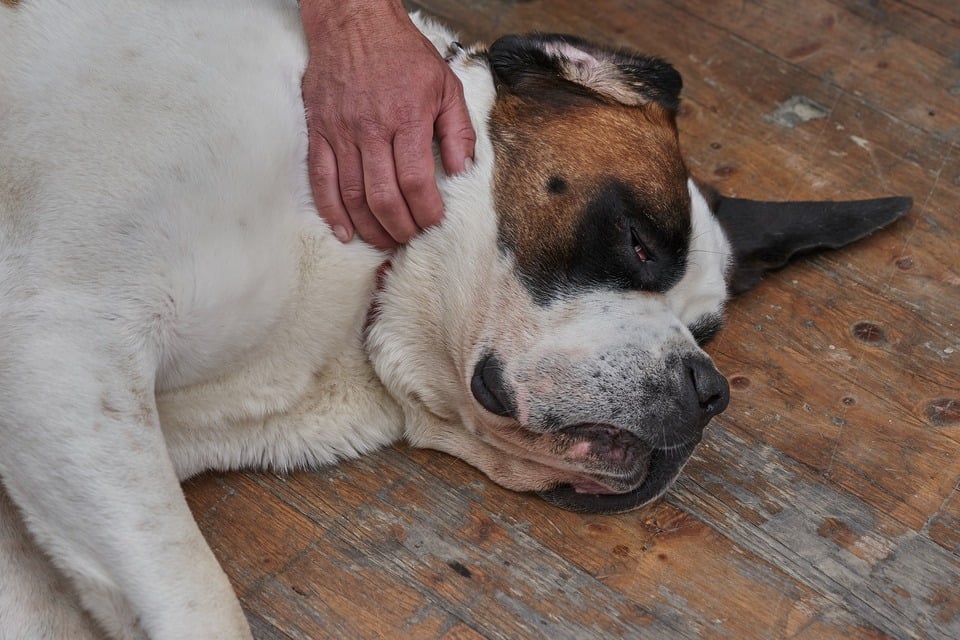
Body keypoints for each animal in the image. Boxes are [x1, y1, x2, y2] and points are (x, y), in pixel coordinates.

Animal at [0, 1, 912, 640]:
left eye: (708, 332)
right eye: (637, 241)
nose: (707, 389)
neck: (364, 277)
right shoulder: (63, 350)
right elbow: (200, 595)